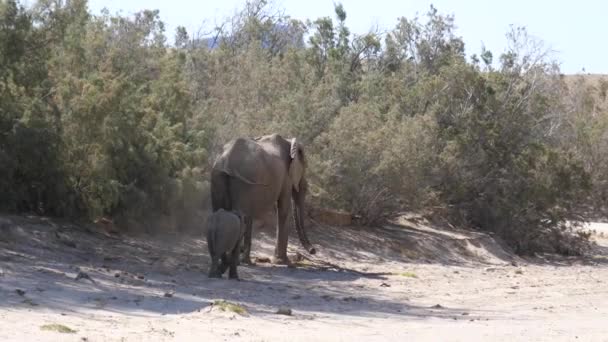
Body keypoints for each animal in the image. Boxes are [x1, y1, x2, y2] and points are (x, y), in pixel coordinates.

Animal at [210, 134, 316, 264]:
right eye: (305, 167)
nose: (313, 251)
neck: (289, 141)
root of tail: (227, 161)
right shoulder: (286, 176)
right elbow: (283, 209)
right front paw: (284, 262)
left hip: (218, 176)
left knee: (220, 211)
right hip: (242, 179)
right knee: (241, 214)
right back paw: (240, 261)